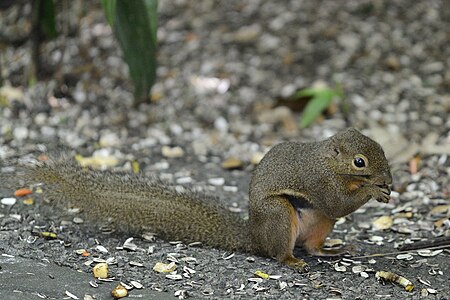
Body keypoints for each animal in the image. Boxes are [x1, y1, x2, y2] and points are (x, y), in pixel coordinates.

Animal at [22, 127, 392, 270]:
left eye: (383, 149)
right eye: (360, 162)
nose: (388, 179)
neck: (330, 164)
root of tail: (254, 236)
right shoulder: (318, 181)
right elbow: (335, 202)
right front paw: (373, 190)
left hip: (320, 225)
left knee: (313, 246)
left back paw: (332, 250)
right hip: (278, 214)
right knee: (279, 252)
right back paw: (289, 259)